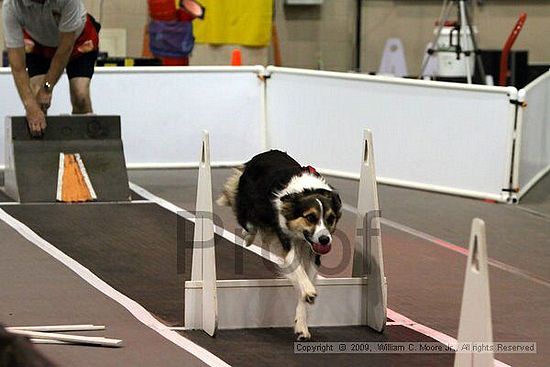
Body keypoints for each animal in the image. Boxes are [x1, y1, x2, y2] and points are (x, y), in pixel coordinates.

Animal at [218, 150, 342, 342]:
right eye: (310, 217)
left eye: (330, 218)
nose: (324, 240)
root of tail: (261, 154)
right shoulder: (287, 240)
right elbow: (298, 270)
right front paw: (309, 291)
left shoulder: (313, 251)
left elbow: (305, 279)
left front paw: (301, 324)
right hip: (249, 203)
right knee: (248, 221)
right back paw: (248, 236)